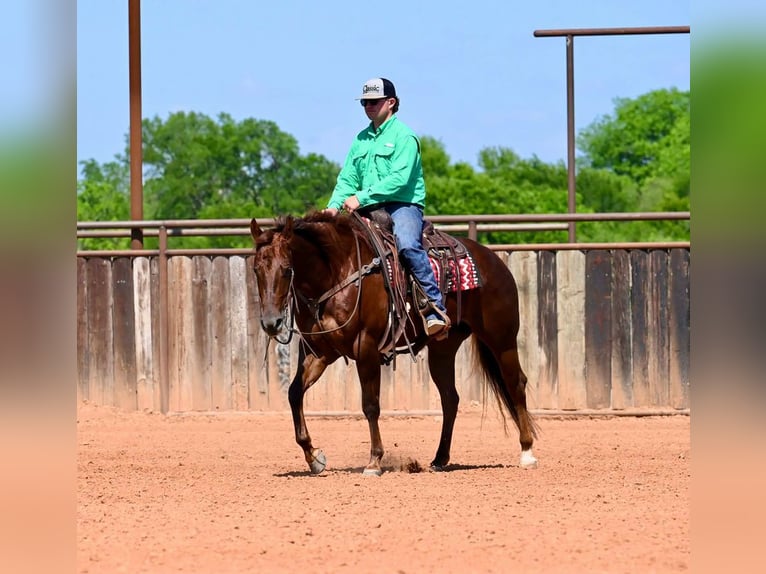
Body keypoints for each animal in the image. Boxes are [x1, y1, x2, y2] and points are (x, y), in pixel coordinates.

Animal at [249, 211, 538, 476]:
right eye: (256, 270)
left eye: (287, 269)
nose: (272, 322)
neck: (336, 272)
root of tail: (494, 261)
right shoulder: (319, 352)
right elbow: (294, 393)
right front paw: (314, 456)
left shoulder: (365, 347)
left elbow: (370, 404)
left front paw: (374, 461)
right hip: (443, 348)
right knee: (450, 398)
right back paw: (439, 458)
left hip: (502, 339)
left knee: (516, 384)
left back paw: (526, 451)